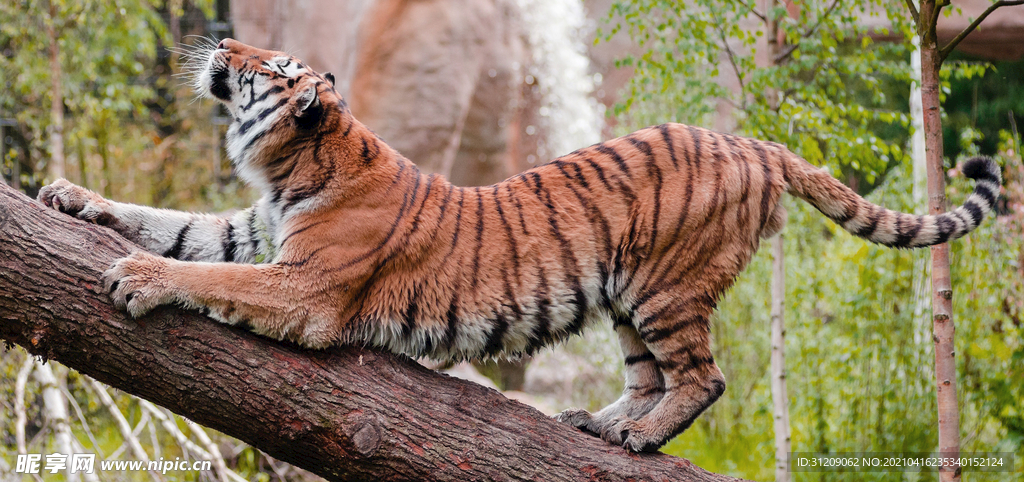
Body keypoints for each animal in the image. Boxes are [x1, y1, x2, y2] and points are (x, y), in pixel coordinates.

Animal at [37, 38, 1002, 453]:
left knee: (705, 377)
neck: (290, 164)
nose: (222, 45)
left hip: (664, 287)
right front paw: (71, 196)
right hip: (625, 300)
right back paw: (603, 423)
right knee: (647, 375)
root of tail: (753, 142)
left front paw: (135, 277)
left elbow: (193, 267)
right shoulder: (252, 231)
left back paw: (640, 439)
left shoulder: (305, 288)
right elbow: (172, 222)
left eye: (266, 67)